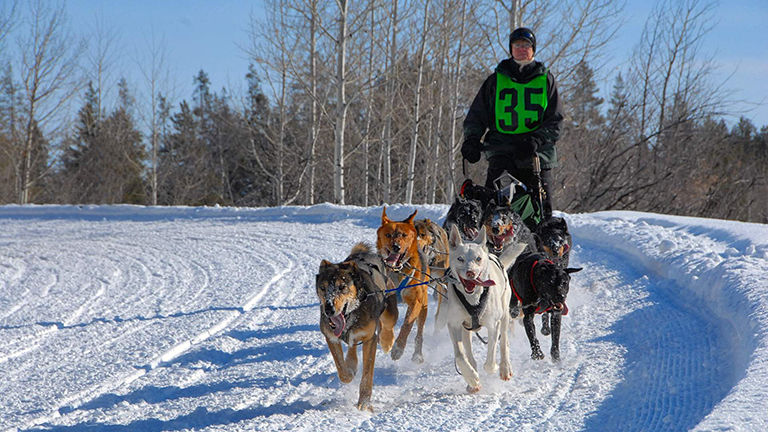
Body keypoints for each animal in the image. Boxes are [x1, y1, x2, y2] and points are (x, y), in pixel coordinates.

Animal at [316, 243, 400, 412]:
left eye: (342, 287)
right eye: (322, 288)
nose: (328, 309)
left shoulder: (370, 339)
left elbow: (367, 375)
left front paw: (364, 402)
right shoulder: (331, 337)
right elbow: (342, 370)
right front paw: (349, 371)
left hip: (390, 311)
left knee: (387, 326)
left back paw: (387, 341)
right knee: (352, 345)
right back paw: (352, 361)